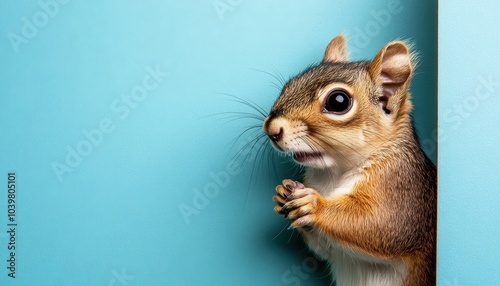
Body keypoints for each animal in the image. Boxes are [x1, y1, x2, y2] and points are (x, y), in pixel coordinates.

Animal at [264, 34, 436, 284]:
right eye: (289, 85)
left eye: (338, 101)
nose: (271, 129)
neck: (334, 173)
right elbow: (324, 248)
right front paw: (282, 194)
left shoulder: (403, 192)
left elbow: (382, 223)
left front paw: (313, 205)